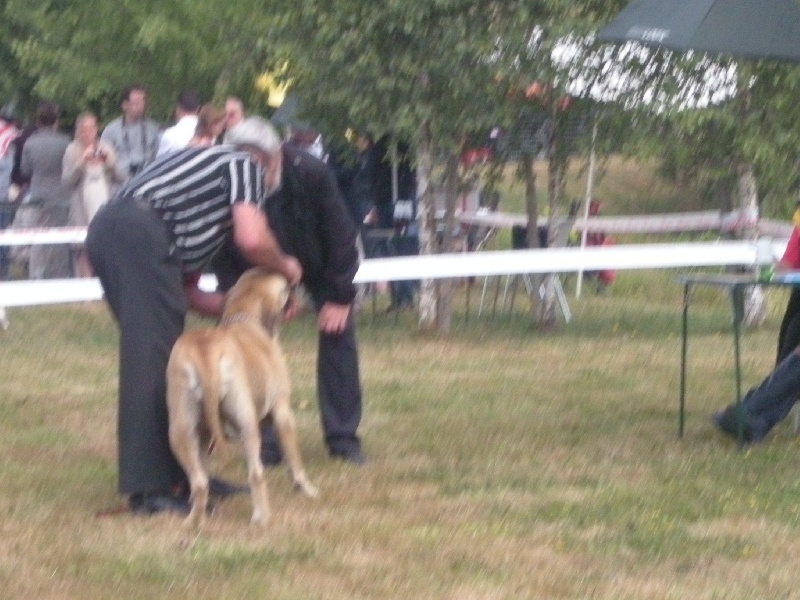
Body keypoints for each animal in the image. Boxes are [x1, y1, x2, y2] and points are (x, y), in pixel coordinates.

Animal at [167, 268, 318, 528]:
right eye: (286, 287)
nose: (299, 285)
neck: (244, 315)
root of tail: (207, 352)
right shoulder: (282, 415)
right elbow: (294, 462)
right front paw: (306, 488)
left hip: (180, 430)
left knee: (200, 481)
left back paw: (195, 520)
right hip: (246, 422)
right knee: (256, 473)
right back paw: (261, 516)